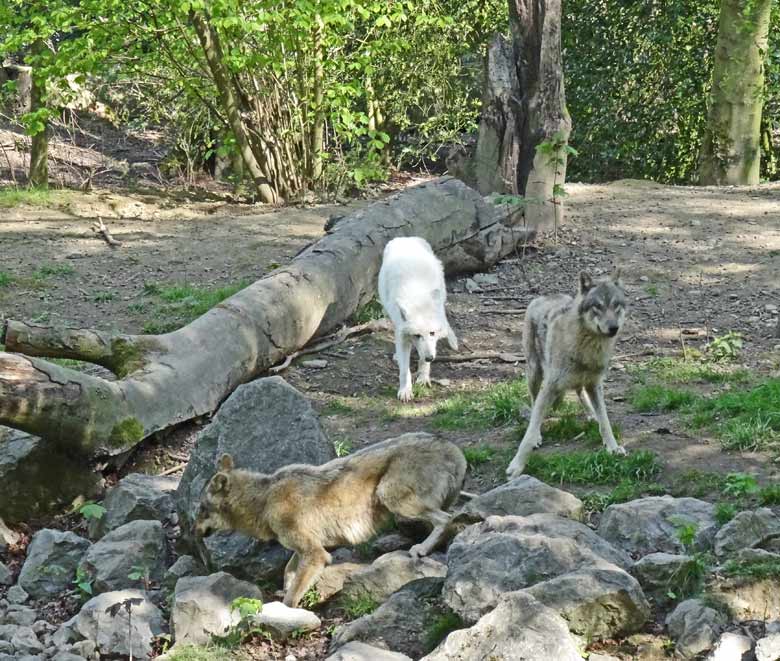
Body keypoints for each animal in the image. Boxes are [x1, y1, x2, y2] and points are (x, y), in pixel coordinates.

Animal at [195, 430, 466, 604]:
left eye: (201, 509)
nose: (193, 531)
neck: (265, 498)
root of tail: (454, 450)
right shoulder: (306, 548)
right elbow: (288, 572)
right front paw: (286, 589)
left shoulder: (316, 554)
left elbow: (291, 598)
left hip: (390, 495)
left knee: (447, 519)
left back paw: (421, 549)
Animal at [378, 237, 458, 402]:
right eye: (417, 335)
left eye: (432, 333)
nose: (430, 358)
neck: (417, 298)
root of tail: (405, 238)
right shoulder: (404, 337)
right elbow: (404, 370)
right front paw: (405, 391)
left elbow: (423, 360)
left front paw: (423, 378)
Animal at [506, 270, 628, 476]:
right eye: (597, 306)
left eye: (616, 305)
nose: (613, 328)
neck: (588, 347)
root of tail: (543, 296)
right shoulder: (549, 387)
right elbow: (529, 433)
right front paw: (516, 465)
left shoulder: (595, 384)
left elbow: (605, 422)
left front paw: (613, 448)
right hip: (534, 374)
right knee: (533, 401)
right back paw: (539, 433)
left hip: (581, 382)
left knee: (579, 391)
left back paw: (591, 415)